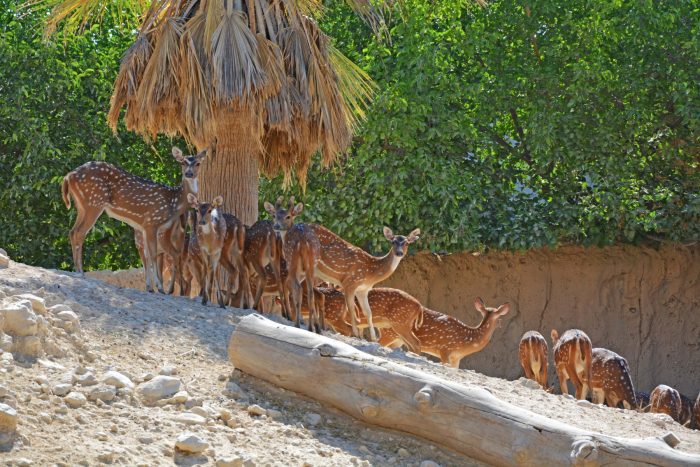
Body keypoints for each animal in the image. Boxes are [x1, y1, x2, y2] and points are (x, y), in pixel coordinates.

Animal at [61, 146, 205, 292]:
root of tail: (68, 176)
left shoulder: (144, 227)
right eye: (183, 162)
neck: (174, 203)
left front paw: (150, 288)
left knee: (72, 231)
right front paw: (159, 288)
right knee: (79, 232)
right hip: (94, 202)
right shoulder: (152, 221)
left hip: (82, 206)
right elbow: (152, 255)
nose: (189, 173)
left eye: (198, 163)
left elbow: (147, 256)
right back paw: (80, 272)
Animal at [262, 197, 418, 340]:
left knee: (295, 286)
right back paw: (298, 320)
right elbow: (353, 311)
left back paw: (303, 322)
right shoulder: (350, 282)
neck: (371, 272)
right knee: (291, 285)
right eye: (393, 242)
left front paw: (373, 339)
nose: (399, 253)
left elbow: (368, 313)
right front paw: (357, 335)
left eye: (407, 243)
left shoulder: (363, 290)